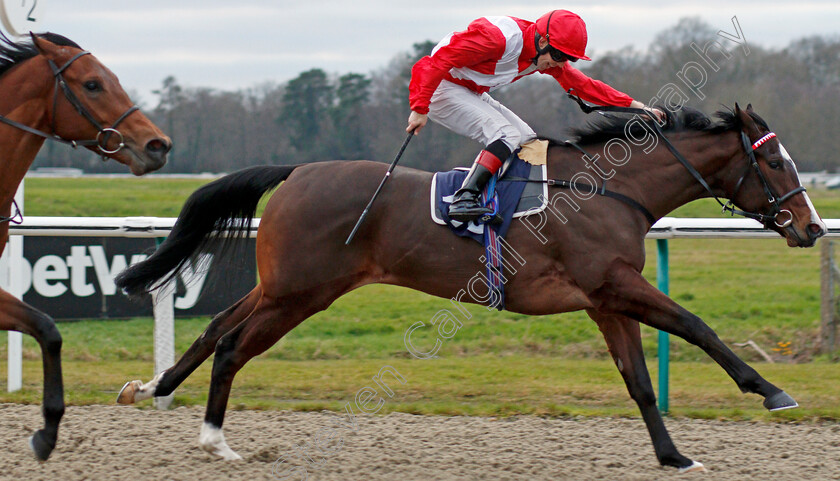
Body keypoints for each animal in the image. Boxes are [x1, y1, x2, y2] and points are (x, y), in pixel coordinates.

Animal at [115, 103, 824, 470]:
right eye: (772, 160)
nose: (812, 227)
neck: (607, 188)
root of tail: (297, 171)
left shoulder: (605, 300)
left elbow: (641, 384)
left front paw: (674, 456)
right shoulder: (615, 284)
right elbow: (695, 326)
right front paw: (771, 391)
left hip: (285, 285)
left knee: (215, 328)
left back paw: (151, 388)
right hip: (302, 292)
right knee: (234, 346)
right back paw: (214, 438)